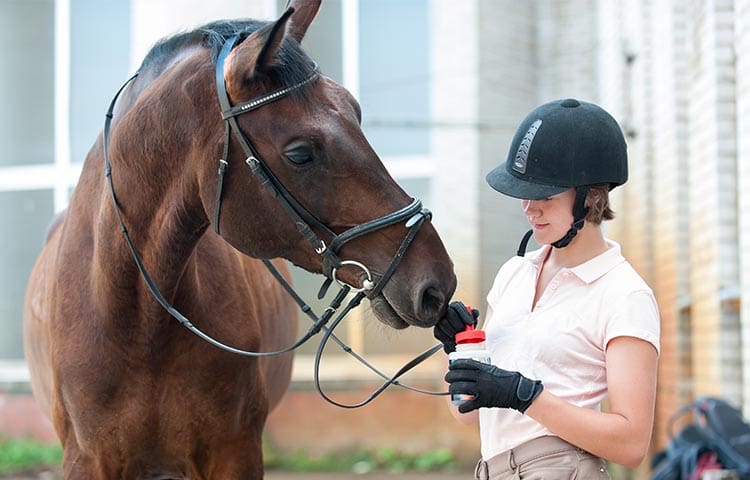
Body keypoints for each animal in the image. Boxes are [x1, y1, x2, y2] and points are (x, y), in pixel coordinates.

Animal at [22, 1, 457, 478]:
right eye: (299, 153)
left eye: (357, 114)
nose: (436, 283)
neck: (137, 323)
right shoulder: (87, 459)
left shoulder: (236, 452)